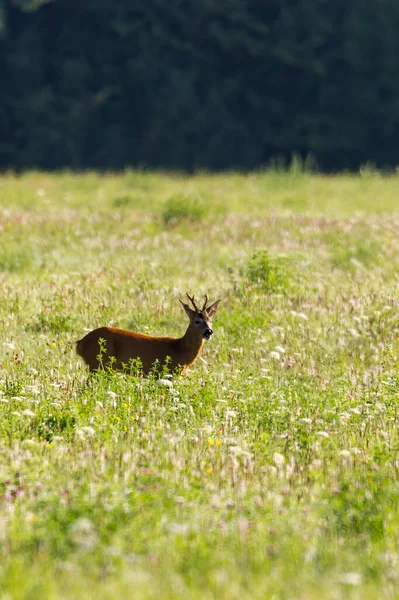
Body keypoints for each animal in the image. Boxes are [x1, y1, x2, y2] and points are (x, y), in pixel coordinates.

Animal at [76, 294, 220, 376]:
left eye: (210, 320)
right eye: (197, 321)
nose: (209, 331)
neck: (180, 349)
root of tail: (80, 343)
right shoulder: (165, 373)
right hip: (96, 364)